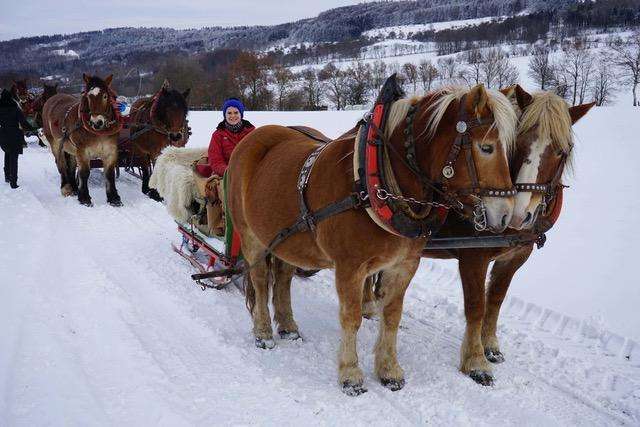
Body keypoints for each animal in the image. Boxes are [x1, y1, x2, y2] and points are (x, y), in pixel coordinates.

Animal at [42, 73, 124, 207]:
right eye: (88, 96)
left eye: (105, 96)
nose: (97, 122)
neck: (99, 132)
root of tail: (53, 98)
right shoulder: (83, 151)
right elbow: (84, 173)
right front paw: (84, 198)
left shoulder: (110, 151)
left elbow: (109, 174)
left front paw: (114, 198)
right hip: (56, 144)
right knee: (62, 164)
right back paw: (66, 187)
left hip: (71, 148)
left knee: (71, 166)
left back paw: (74, 188)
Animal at [228, 82, 516, 396]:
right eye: (486, 147)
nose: (506, 215)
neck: (373, 183)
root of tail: (254, 137)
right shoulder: (349, 268)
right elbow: (351, 317)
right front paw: (350, 374)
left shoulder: (403, 265)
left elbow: (391, 314)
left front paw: (389, 370)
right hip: (251, 235)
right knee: (260, 280)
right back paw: (263, 332)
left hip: (286, 239)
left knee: (282, 278)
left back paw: (288, 326)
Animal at [364, 85, 596, 386]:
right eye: (518, 144)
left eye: (562, 151)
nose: (520, 213)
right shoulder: (473, 257)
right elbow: (476, 306)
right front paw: (475, 361)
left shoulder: (514, 257)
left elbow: (495, 300)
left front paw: (491, 346)